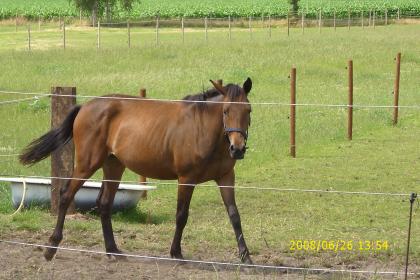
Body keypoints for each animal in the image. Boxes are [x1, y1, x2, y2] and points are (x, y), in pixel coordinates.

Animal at [19, 77, 253, 264]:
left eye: (248, 110)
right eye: (226, 111)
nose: (238, 149)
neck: (203, 128)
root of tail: (85, 106)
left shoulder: (226, 177)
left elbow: (234, 215)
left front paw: (246, 257)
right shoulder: (186, 178)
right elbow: (181, 215)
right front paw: (176, 253)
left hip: (113, 166)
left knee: (104, 204)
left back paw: (112, 250)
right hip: (87, 164)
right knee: (66, 194)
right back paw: (51, 248)